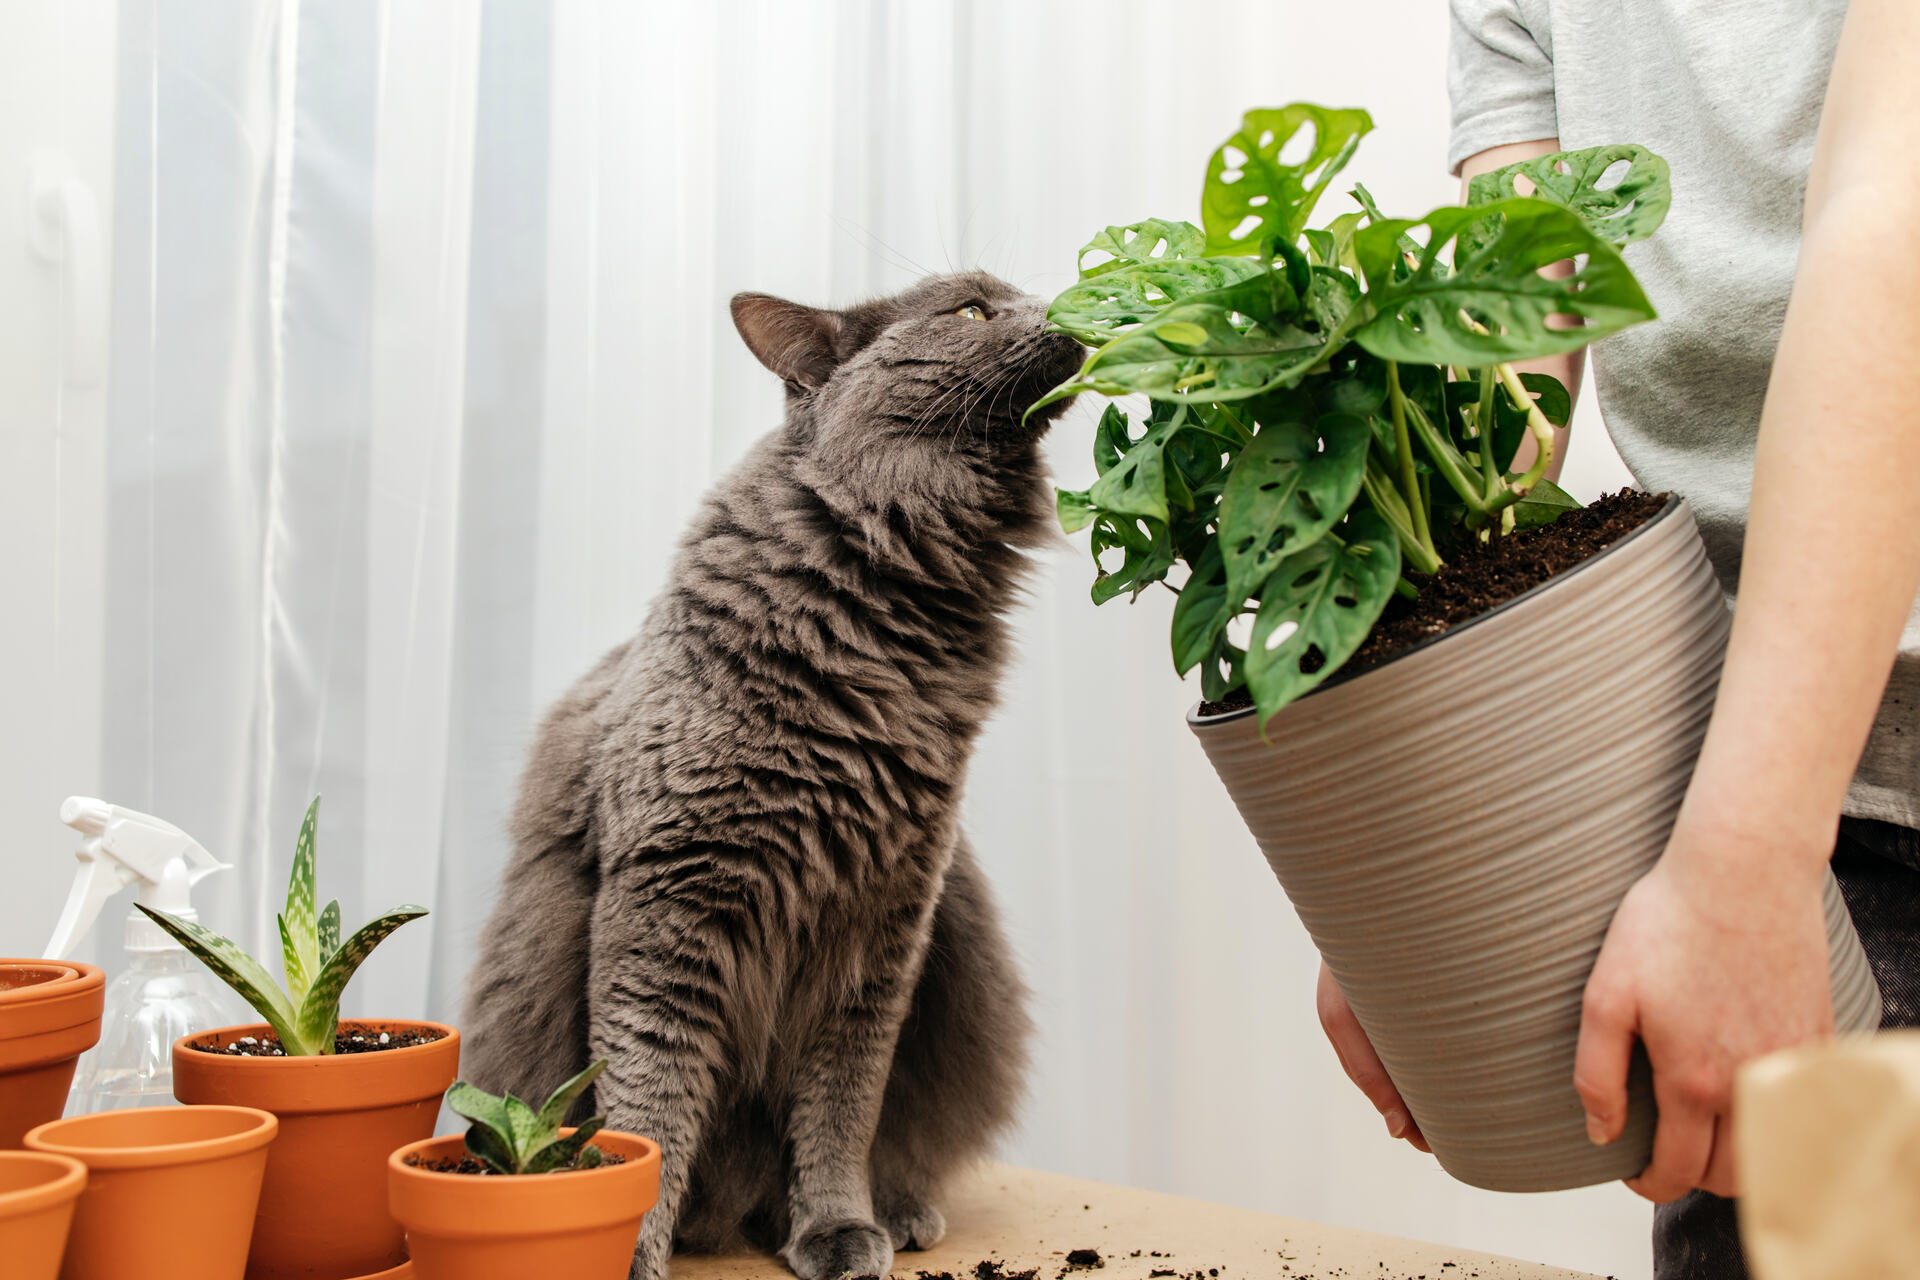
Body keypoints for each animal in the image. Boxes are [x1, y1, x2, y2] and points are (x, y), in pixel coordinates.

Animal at [460, 272, 1082, 1280]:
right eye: (972, 312)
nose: (1062, 303)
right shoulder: (666, 908)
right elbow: (649, 1105)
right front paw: (631, 1250)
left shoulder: (885, 928)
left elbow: (839, 1109)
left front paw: (835, 1228)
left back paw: (891, 1212)